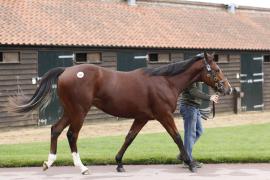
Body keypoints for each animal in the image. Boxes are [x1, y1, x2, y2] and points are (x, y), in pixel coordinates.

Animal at [7, 51, 231, 174]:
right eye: (217, 69)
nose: (228, 89)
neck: (165, 81)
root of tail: (66, 71)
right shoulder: (163, 115)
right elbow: (176, 137)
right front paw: (190, 163)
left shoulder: (142, 117)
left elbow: (129, 138)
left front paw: (119, 163)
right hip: (79, 111)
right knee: (71, 134)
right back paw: (82, 168)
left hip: (70, 110)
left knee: (55, 129)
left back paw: (49, 162)